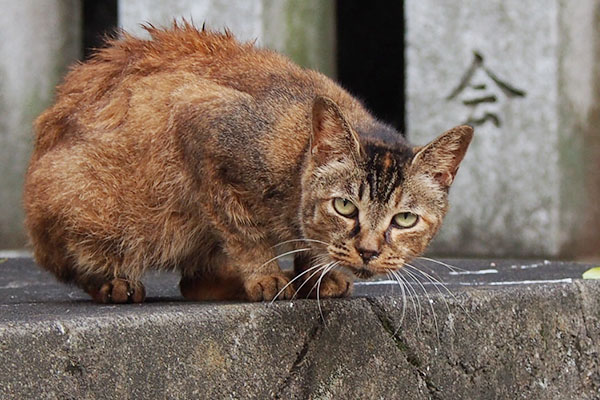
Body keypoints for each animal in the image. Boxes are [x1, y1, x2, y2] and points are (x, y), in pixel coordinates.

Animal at [23, 22, 474, 304]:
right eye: (345, 206)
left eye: (405, 219)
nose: (367, 251)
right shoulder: (198, 121)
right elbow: (243, 231)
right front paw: (265, 275)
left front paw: (318, 275)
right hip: (87, 209)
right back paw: (115, 284)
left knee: (192, 283)